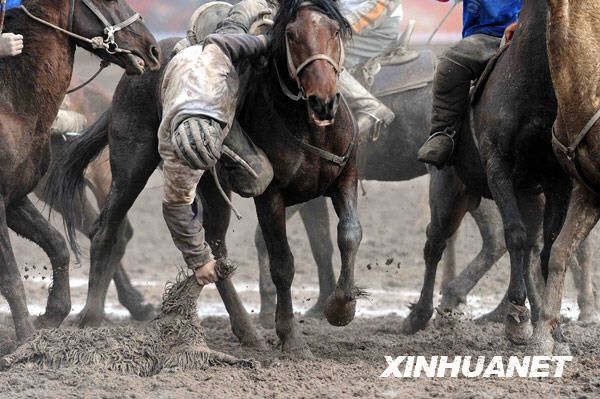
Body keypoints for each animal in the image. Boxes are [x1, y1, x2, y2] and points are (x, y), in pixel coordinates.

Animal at [0, 0, 159, 344]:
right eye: (108, 1)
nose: (152, 49)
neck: (13, 103)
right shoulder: (7, 201)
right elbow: (13, 273)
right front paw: (26, 336)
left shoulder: (16, 196)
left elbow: (57, 245)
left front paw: (50, 316)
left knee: (110, 231)